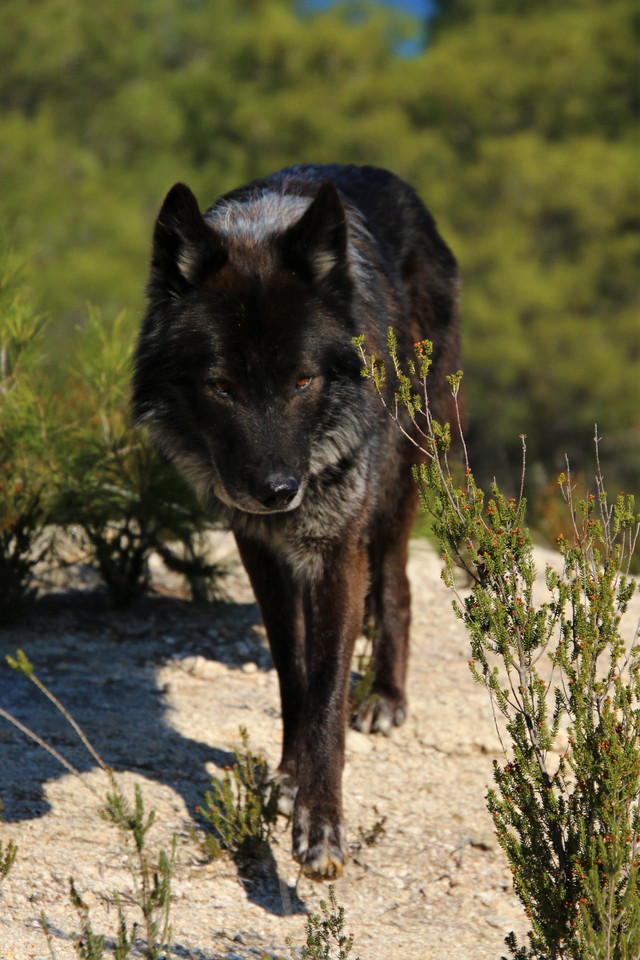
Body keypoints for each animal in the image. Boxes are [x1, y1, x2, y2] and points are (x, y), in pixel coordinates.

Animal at [132, 164, 460, 879]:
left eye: (303, 381)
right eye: (221, 386)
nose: (278, 491)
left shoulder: (338, 550)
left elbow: (329, 690)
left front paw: (320, 821)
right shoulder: (259, 548)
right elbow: (295, 671)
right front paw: (287, 776)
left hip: (404, 469)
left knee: (397, 585)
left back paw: (386, 695)